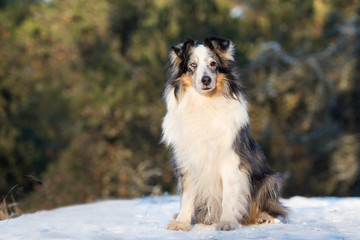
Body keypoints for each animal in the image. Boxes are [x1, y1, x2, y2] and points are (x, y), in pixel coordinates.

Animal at [160, 37, 286, 231]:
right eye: (193, 65)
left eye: (213, 64)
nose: (206, 80)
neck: (204, 102)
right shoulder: (188, 160)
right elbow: (187, 195)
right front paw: (181, 222)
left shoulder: (231, 159)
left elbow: (229, 193)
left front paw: (227, 222)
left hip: (269, 179)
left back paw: (264, 218)